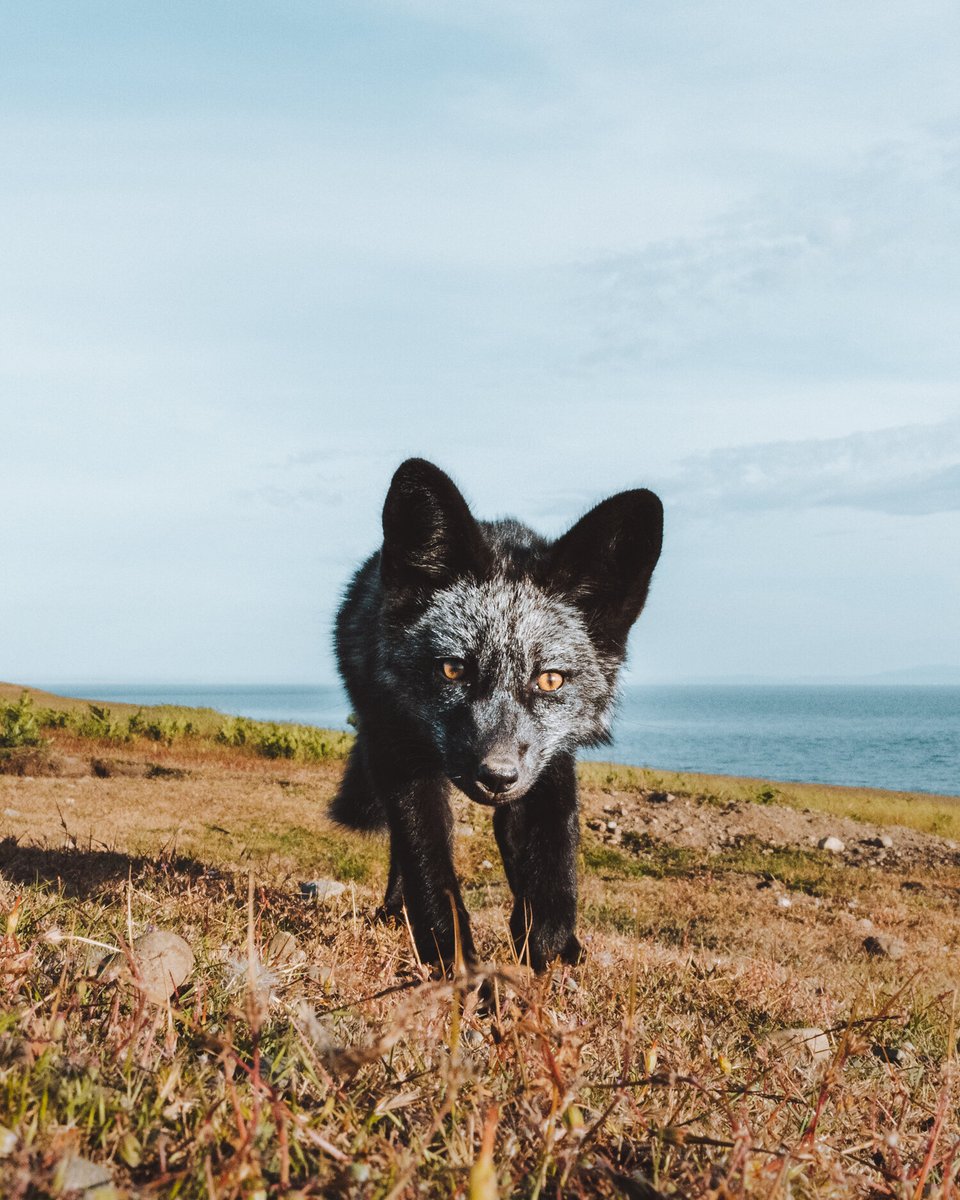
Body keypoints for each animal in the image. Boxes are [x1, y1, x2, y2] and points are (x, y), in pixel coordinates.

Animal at [332, 458, 663, 974]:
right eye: (453, 670)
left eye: (550, 680)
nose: (497, 776)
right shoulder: (400, 751)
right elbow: (428, 868)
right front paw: (453, 960)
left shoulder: (548, 762)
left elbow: (555, 854)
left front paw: (547, 942)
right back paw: (393, 909)